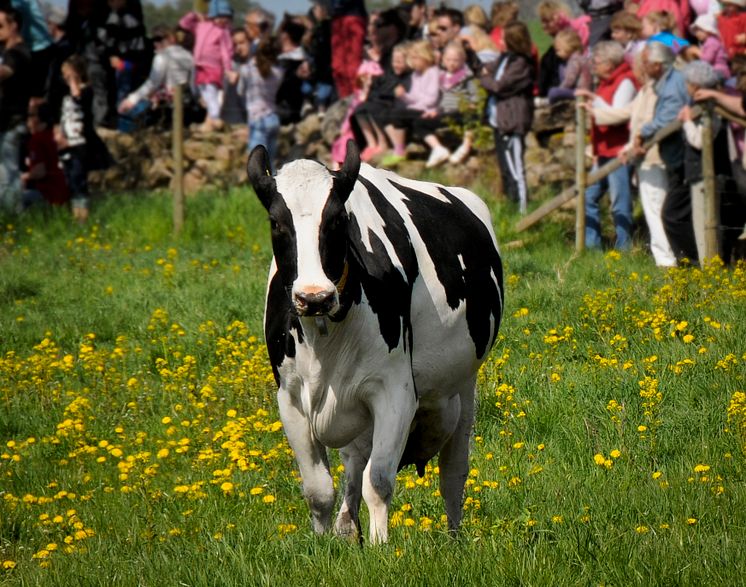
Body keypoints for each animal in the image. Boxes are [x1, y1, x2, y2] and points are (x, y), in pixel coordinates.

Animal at [247, 144, 502, 548]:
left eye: (338, 220)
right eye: (276, 222)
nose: (314, 297)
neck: (325, 338)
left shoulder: (394, 392)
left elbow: (379, 480)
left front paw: (382, 548)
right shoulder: (289, 398)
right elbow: (319, 489)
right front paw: (323, 546)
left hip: (464, 385)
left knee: (453, 474)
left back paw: (453, 538)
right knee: (354, 464)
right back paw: (346, 529)